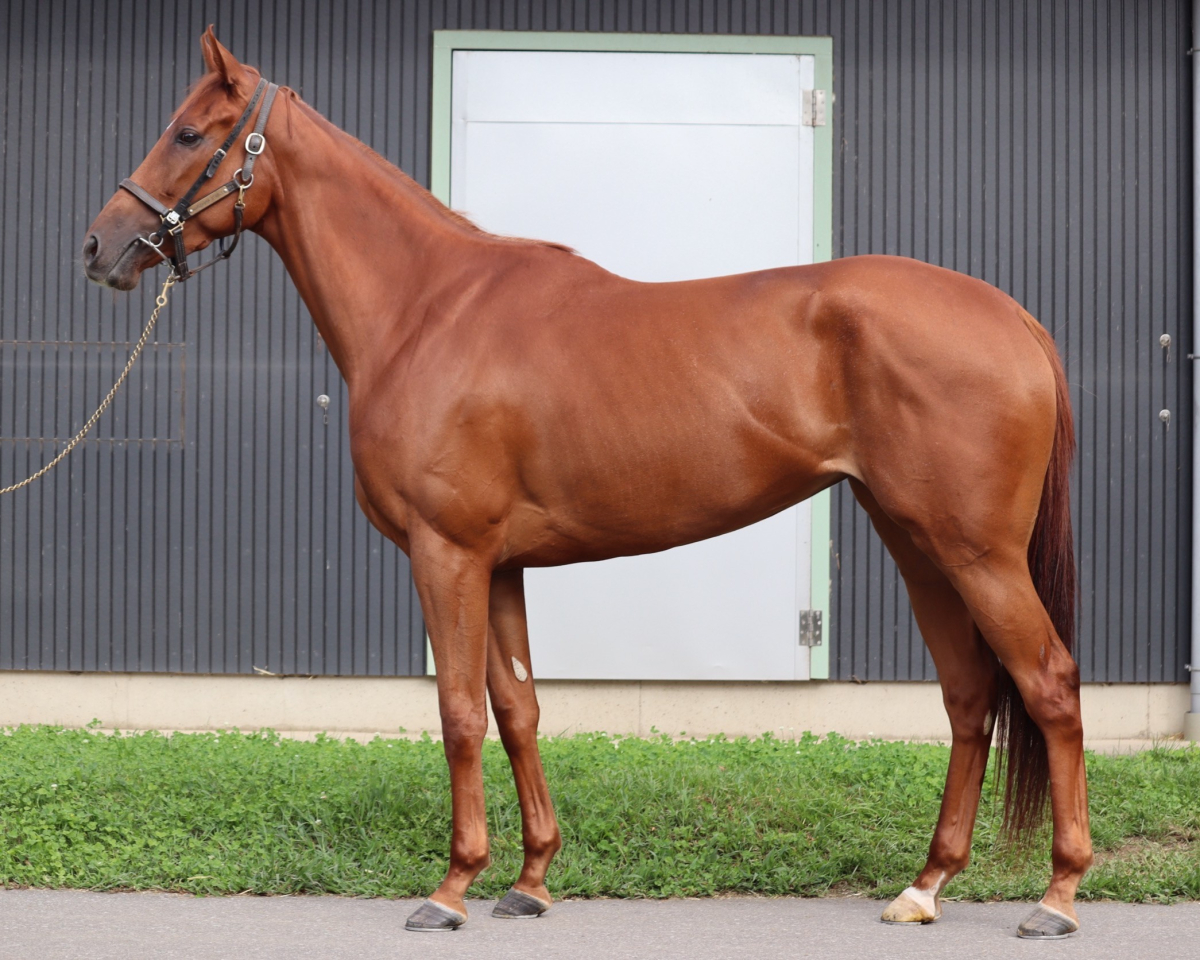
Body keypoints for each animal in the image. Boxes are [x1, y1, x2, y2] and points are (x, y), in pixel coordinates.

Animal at [82, 28, 1090, 938]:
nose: (99, 245)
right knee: (969, 696)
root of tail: (1014, 318)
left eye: (187, 131)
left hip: (976, 552)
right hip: (917, 544)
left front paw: (451, 888)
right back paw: (925, 886)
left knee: (1047, 681)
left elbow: (457, 712)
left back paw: (1056, 895)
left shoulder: (447, 554)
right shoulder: (499, 565)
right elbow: (520, 707)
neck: (426, 310)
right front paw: (528, 881)